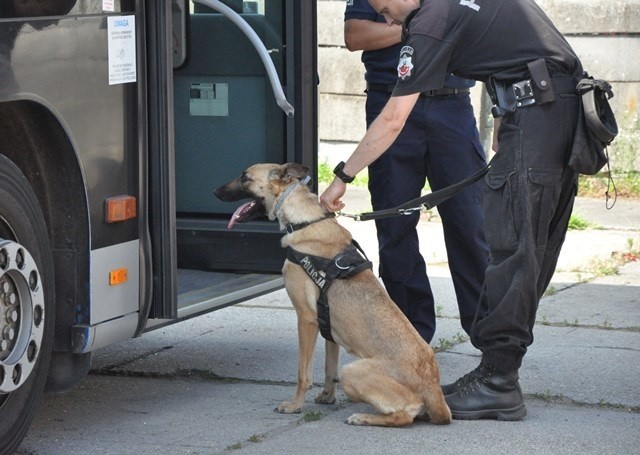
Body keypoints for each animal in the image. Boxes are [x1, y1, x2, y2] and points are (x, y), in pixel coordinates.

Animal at [214, 164, 450, 428]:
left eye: (245, 178)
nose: (215, 192)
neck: (304, 222)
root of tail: (433, 389)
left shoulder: (306, 319)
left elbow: (303, 373)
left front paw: (295, 406)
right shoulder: (327, 324)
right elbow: (329, 368)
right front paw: (327, 398)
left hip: (352, 371)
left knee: (404, 417)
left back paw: (363, 417)